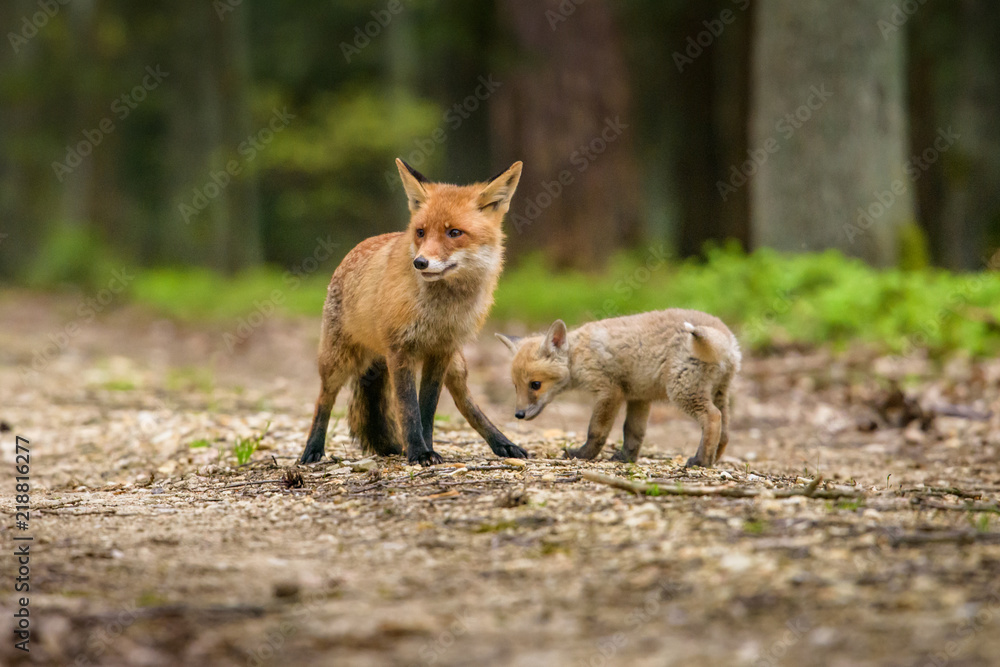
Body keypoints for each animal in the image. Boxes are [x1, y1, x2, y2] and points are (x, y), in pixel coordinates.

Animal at [299, 158, 528, 466]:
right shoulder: (400, 349)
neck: (440, 310)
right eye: (420, 232)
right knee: (323, 400)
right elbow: (409, 408)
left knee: (465, 401)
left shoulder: (440, 352)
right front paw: (419, 451)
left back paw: (503, 443)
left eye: (454, 233)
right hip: (337, 360)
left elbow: (427, 409)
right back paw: (312, 449)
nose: (420, 262)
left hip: (456, 364)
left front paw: (426, 448)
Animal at [497, 309, 741, 467]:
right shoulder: (639, 397)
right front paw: (626, 459)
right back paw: (714, 458)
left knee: (712, 418)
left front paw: (583, 454)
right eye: (516, 386)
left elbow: (596, 431)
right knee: (725, 431)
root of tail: (725, 336)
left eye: (535, 385)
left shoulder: (609, 392)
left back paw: (701, 461)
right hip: (718, 393)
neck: (577, 354)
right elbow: (633, 433)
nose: (519, 414)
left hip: (683, 391)